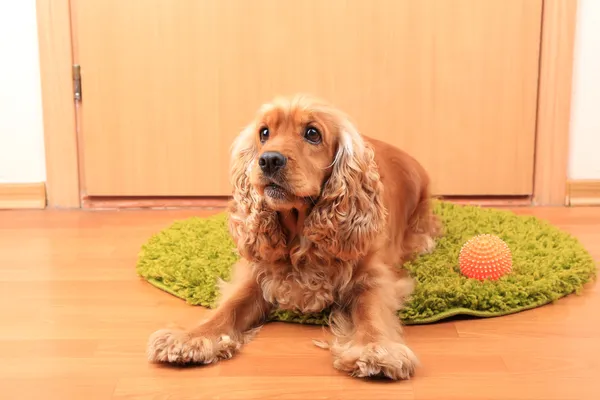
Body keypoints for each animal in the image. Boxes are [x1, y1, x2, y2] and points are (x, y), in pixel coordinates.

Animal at [147, 94, 440, 382]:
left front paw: (376, 349)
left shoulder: (374, 274)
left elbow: (371, 311)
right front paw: (191, 338)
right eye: (264, 133)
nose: (268, 160)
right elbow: (229, 307)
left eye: (312, 133)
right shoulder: (255, 273)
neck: (301, 235)